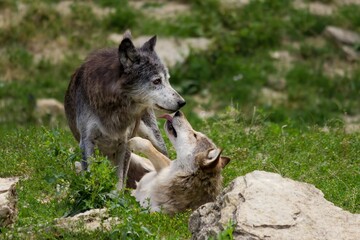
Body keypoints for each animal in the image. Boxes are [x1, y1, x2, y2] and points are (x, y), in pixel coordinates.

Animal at [63, 31, 186, 190]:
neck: (113, 107)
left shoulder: (125, 143)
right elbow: (91, 175)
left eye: (167, 79)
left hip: (155, 140)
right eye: (157, 81)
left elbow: (119, 181)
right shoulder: (87, 142)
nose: (182, 102)